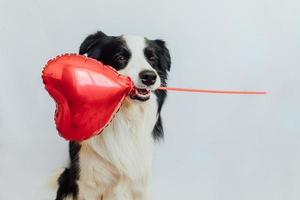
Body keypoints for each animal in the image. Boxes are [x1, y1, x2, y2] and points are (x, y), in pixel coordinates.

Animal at [54, 30, 171, 199]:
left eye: (152, 59)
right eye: (120, 58)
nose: (149, 76)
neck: (125, 116)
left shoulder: (140, 182)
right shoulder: (87, 183)